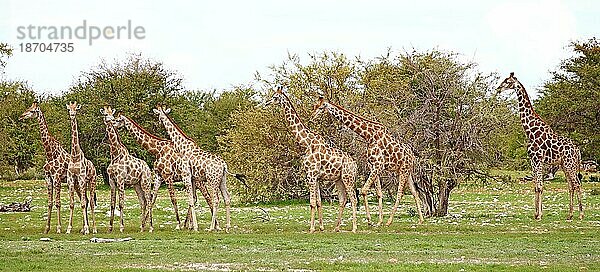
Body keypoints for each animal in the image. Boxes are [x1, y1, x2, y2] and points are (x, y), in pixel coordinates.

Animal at [19, 102, 75, 234]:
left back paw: (71, 228)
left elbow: (58, 203)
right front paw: (46, 228)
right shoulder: (48, 178)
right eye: (28, 108)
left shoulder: (57, 177)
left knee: (75, 201)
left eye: (32, 111)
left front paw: (59, 228)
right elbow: (49, 202)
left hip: (72, 182)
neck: (50, 154)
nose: (21, 116)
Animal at [152, 104, 246, 232]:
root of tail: (224, 165)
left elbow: (191, 199)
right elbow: (193, 199)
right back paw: (227, 227)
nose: (157, 123)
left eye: (158, 115)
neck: (182, 145)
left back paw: (211, 228)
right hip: (222, 180)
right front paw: (192, 226)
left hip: (213, 180)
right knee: (227, 198)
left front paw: (195, 227)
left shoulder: (186, 175)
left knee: (216, 199)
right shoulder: (192, 178)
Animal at [266, 87, 358, 232]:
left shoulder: (311, 175)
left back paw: (354, 228)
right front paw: (321, 227)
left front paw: (311, 228)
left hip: (348, 177)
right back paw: (336, 228)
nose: (266, 102)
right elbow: (319, 202)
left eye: (275, 97)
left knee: (353, 199)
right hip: (339, 179)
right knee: (343, 200)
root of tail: (355, 164)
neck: (306, 143)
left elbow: (312, 202)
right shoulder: (316, 177)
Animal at [312, 94, 424, 226]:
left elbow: (364, 190)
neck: (369, 135)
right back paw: (421, 220)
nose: (312, 118)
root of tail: (412, 156)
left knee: (400, 193)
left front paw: (371, 220)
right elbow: (379, 193)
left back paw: (389, 221)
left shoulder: (378, 165)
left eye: (321, 108)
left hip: (404, 170)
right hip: (406, 171)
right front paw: (379, 221)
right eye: (315, 105)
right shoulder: (373, 165)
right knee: (414, 191)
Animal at [496, 73, 580, 221]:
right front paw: (536, 213)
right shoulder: (532, 160)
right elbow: (536, 186)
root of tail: (577, 150)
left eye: (507, 81)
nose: (499, 89)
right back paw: (570, 214)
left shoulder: (537, 159)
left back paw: (580, 214)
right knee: (571, 186)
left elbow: (540, 186)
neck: (531, 131)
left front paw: (539, 214)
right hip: (565, 165)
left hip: (569, 164)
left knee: (576, 184)